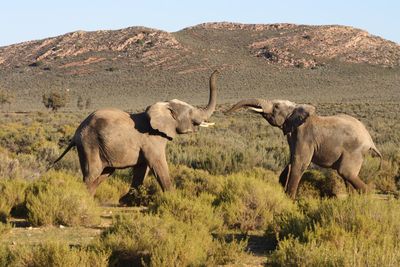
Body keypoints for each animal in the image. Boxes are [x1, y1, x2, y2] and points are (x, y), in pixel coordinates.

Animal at [52, 69, 219, 205]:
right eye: (190, 113)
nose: (216, 71)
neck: (163, 105)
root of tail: (76, 133)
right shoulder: (152, 139)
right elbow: (158, 164)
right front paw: (174, 199)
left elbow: (141, 169)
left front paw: (125, 202)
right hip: (89, 144)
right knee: (92, 173)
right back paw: (82, 201)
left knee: (103, 173)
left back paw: (89, 199)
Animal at [227, 99, 382, 200]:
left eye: (276, 106)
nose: (227, 111)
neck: (296, 108)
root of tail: (370, 141)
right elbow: (291, 161)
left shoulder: (304, 135)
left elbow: (299, 163)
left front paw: (289, 200)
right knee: (346, 176)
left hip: (354, 150)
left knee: (346, 173)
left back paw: (368, 197)